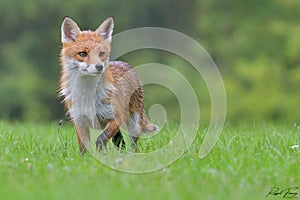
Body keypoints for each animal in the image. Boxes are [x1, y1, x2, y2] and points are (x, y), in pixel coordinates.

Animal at [57, 17, 158, 152]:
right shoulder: (79, 120)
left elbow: (101, 138)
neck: (88, 94)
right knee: (121, 143)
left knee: (132, 144)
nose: (99, 66)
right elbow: (84, 148)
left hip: (134, 124)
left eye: (101, 54)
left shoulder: (115, 117)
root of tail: (125, 64)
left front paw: (101, 151)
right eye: (83, 54)